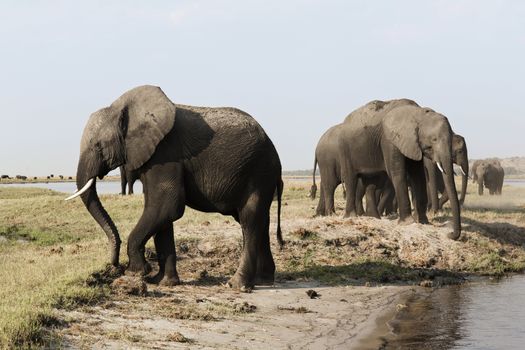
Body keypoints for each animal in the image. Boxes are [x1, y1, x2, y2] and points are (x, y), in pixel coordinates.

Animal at [68, 85, 286, 290]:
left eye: (98, 146)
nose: (114, 265)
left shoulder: (166, 154)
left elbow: (166, 207)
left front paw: (137, 272)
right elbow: (162, 215)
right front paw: (163, 282)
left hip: (258, 172)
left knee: (250, 219)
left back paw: (237, 285)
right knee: (258, 220)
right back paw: (263, 280)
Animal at [338, 99, 460, 241]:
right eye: (434, 139)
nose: (450, 234)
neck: (417, 113)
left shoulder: (412, 144)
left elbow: (418, 176)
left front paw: (423, 222)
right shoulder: (390, 141)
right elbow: (397, 173)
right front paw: (408, 223)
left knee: (372, 182)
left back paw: (374, 218)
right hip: (345, 149)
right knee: (351, 179)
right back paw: (350, 217)